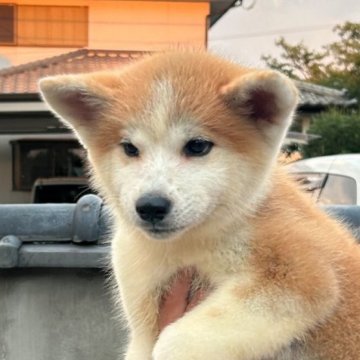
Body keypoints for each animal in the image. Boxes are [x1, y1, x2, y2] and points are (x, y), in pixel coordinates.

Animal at [38, 51, 360, 360]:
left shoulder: (303, 272)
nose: (151, 206)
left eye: (197, 146)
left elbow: (174, 343)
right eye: (130, 148)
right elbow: (144, 347)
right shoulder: (142, 310)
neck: (191, 245)